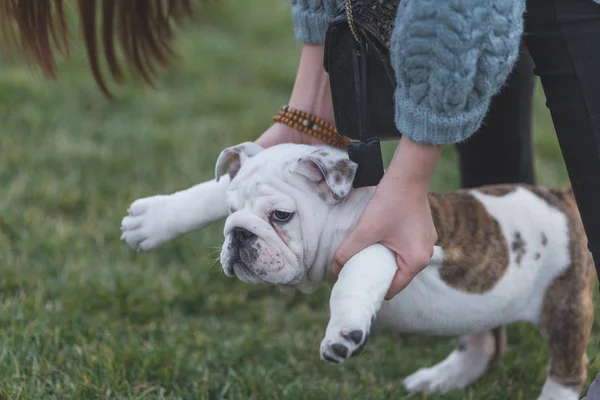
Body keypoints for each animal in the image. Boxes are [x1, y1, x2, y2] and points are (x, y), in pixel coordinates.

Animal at [119, 142, 592, 398]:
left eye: (282, 216)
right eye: (232, 212)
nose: (237, 236)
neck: (342, 210)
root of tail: (562, 198)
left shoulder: (384, 242)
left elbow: (350, 281)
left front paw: (343, 333)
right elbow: (209, 190)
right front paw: (154, 219)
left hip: (564, 303)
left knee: (568, 367)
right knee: (482, 341)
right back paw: (443, 378)